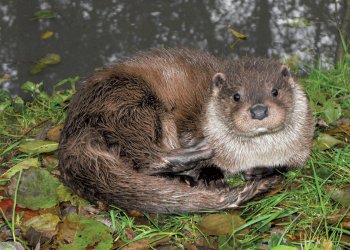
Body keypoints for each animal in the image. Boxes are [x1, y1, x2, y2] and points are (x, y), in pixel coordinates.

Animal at [58, 48, 314, 213]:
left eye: (274, 91)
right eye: (236, 96)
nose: (259, 110)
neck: (253, 154)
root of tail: (73, 129)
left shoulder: (300, 149)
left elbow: (288, 166)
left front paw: (262, 171)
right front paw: (212, 176)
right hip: (128, 100)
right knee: (146, 155)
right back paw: (193, 158)